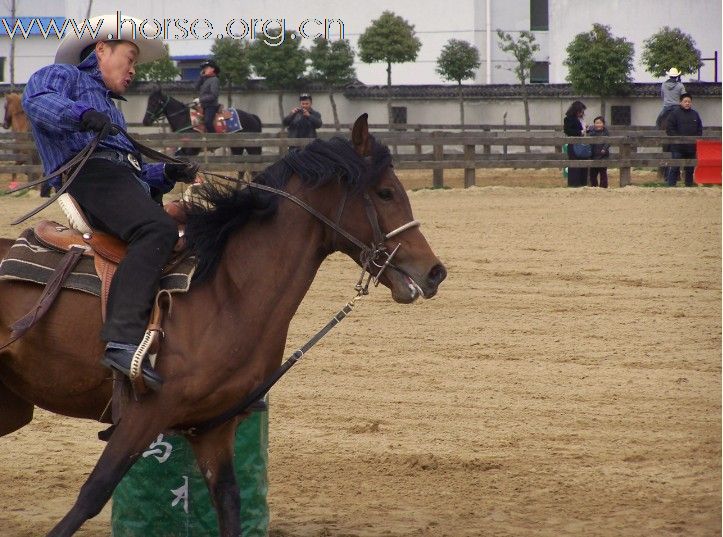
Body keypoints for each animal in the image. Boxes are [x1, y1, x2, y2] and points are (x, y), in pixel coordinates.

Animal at [0, 114, 446, 536]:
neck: (225, 288)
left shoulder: (213, 430)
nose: (435, 272)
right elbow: (92, 495)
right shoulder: (145, 414)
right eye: (385, 192)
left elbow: (229, 504)